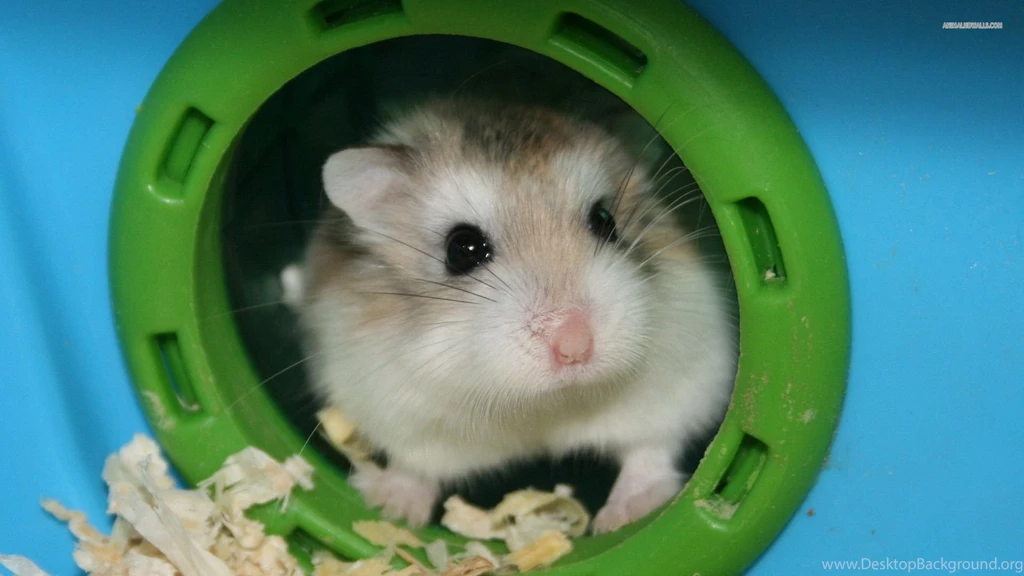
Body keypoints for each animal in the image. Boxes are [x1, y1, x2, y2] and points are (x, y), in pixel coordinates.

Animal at [289, 97, 737, 534]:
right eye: (462, 248)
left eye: (605, 221)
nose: (574, 347)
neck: (545, 403)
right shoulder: (394, 408)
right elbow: (414, 465)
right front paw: (391, 508)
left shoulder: (681, 381)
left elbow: (650, 448)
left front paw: (624, 516)